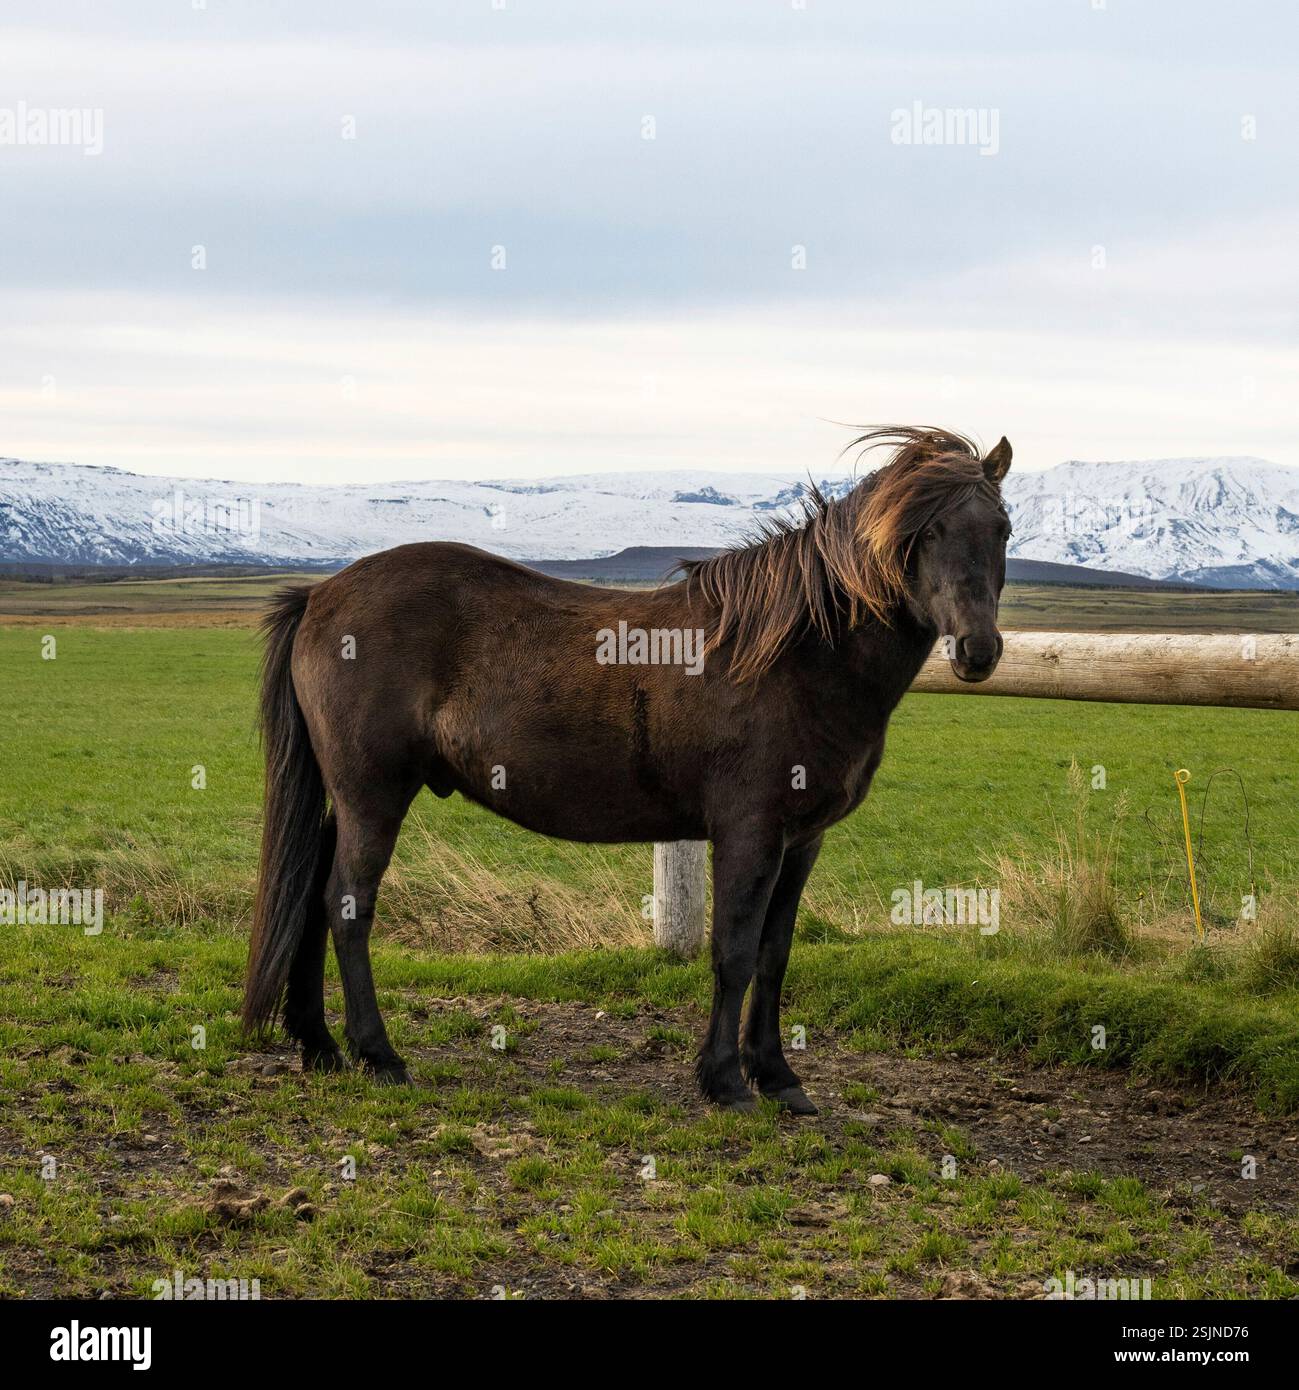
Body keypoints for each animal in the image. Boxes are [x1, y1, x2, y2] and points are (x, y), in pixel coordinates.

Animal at [242, 426, 1012, 1113]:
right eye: (925, 534)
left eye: (1002, 529)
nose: (977, 649)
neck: (795, 656)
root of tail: (320, 596)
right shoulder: (749, 833)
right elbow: (733, 952)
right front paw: (725, 1081)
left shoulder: (802, 841)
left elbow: (774, 954)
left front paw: (778, 1077)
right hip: (373, 796)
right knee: (348, 905)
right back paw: (379, 1055)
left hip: (345, 799)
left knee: (312, 892)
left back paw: (320, 1047)